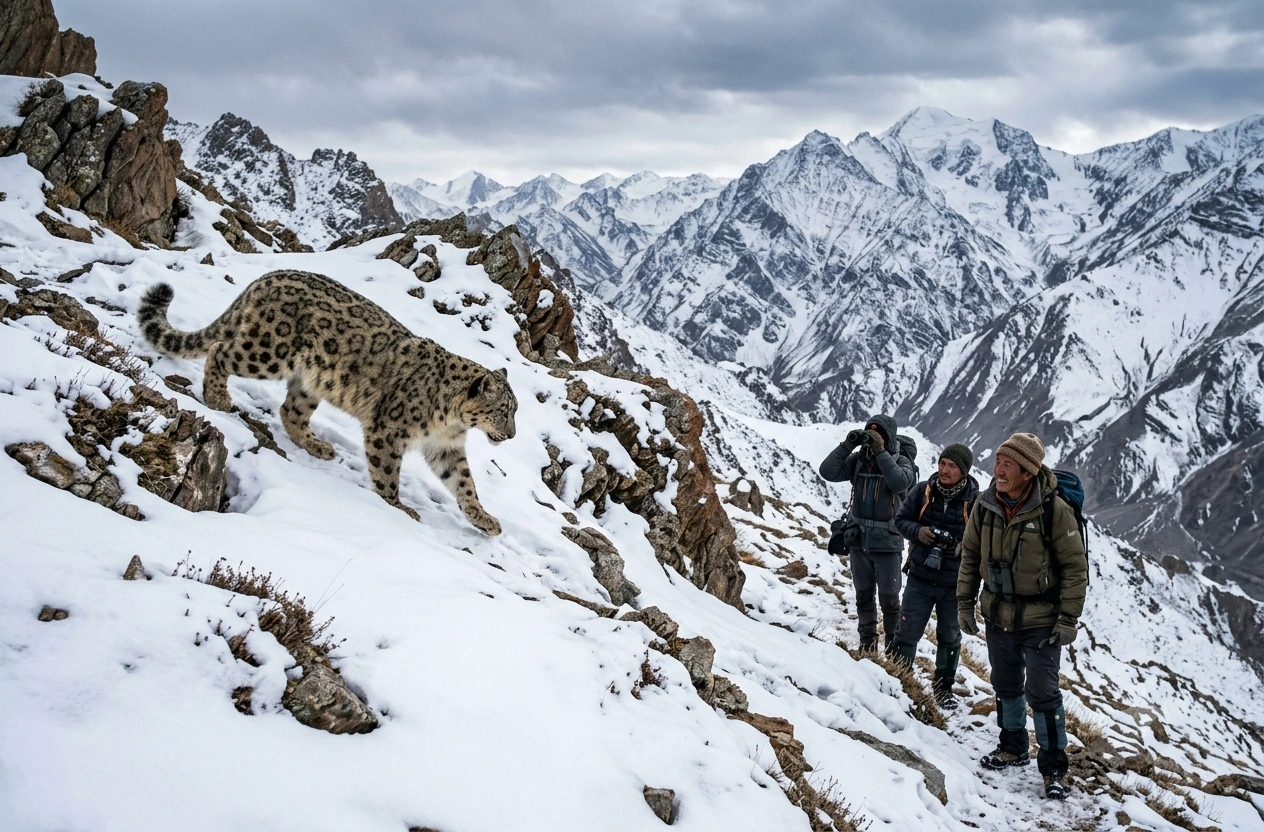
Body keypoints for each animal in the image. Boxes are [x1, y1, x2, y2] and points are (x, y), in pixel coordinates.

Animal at [137, 269, 516, 534]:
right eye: (504, 411)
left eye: (513, 412)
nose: (512, 435)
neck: (451, 422)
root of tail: (266, 278)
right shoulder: (389, 430)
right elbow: (387, 470)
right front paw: (396, 506)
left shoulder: (446, 447)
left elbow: (464, 483)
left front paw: (485, 519)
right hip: (267, 351)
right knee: (219, 351)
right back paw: (218, 397)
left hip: (309, 383)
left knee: (290, 410)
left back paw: (317, 446)